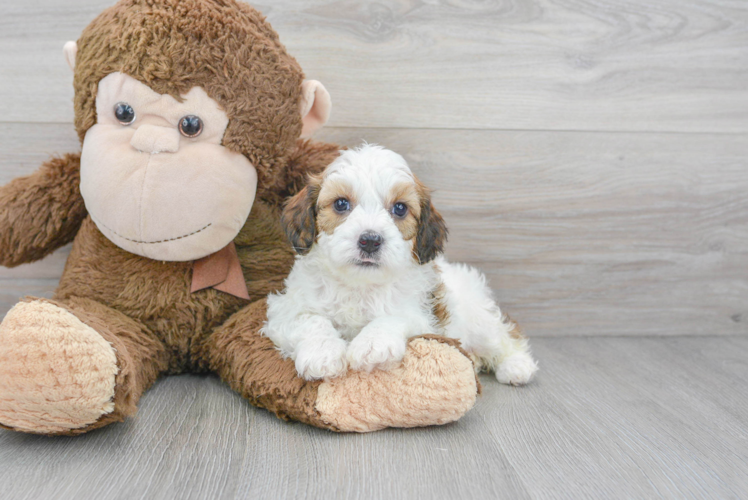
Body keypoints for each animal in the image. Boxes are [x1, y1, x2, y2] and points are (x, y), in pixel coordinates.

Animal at [262, 143, 536, 384]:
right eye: (341, 203)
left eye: (400, 208)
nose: (370, 241)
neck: (360, 286)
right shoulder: (285, 310)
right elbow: (310, 320)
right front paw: (322, 352)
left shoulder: (422, 317)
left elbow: (394, 316)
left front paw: (372, 343)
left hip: (479, 320)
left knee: (507, 337)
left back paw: (517, 365)